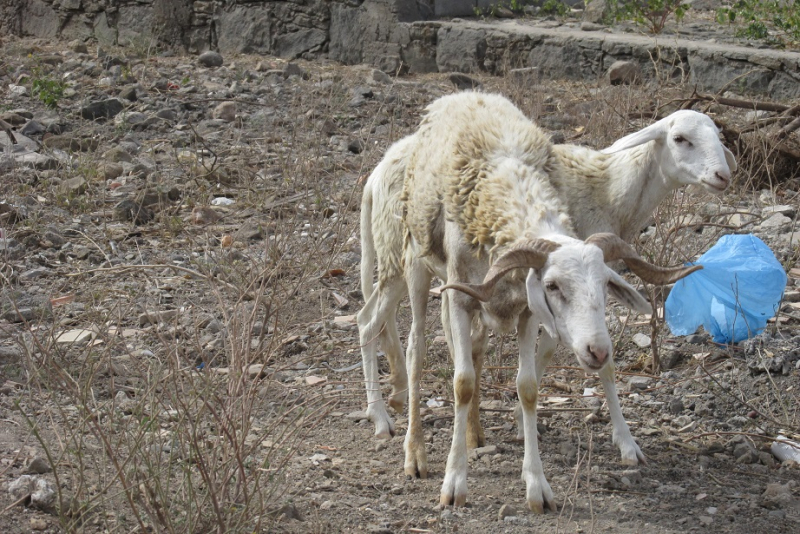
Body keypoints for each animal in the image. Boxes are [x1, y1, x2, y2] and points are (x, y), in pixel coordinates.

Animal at [362, 92, 700, 516]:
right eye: (552, 285)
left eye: (605, 284)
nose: (598, 350)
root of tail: (461, 95)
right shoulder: (461, 296)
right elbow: (462, 383)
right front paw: (454, 483)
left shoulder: (525, 312)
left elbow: (528, 388)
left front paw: (537, 486)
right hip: (412, 265)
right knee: (413, 350)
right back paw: (413, 449)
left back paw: (473, 434)